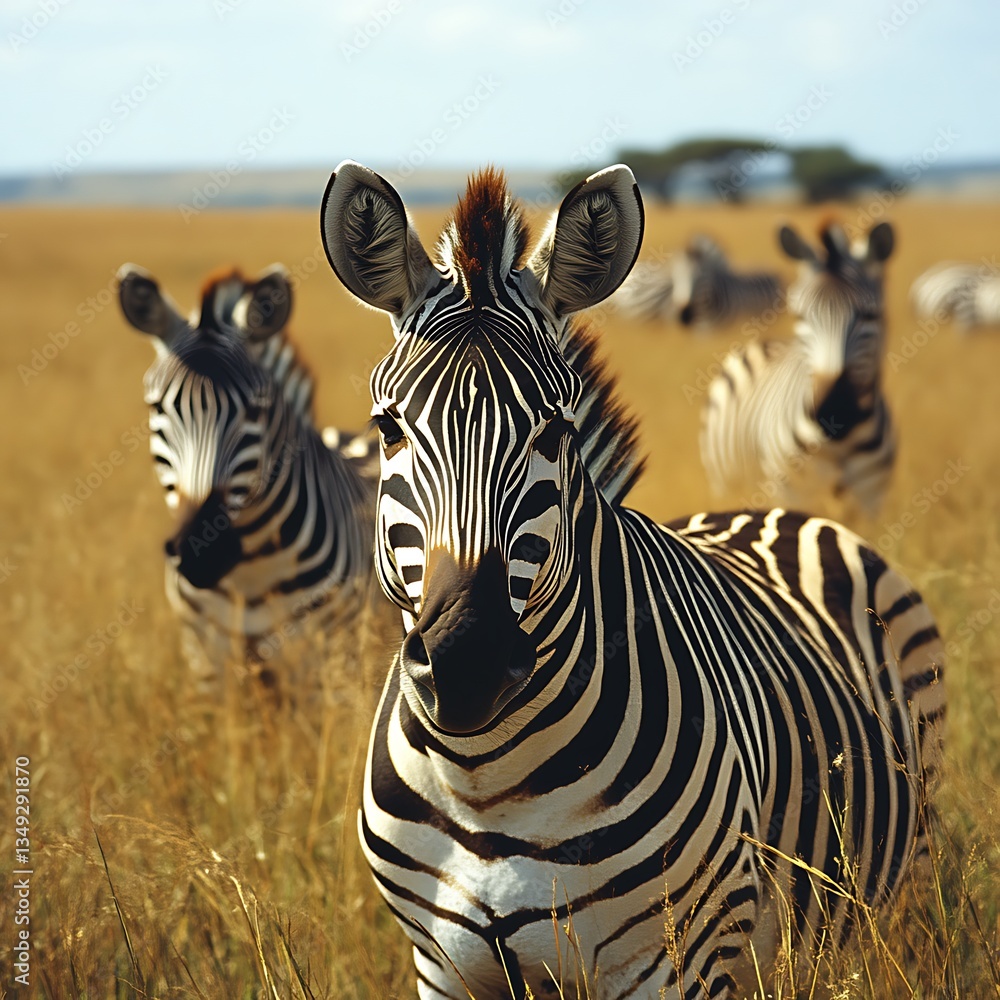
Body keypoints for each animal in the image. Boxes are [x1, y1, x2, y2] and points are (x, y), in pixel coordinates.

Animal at [117, 263, 377, 686]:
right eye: (157, 409)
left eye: (255, 410)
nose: (201, 551)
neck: (252, 573)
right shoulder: (207, 665)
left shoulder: (333, 665)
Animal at [700, 220, 896, 516]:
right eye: (801, 316)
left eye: (870, 315)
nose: (834, 410)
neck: (841, 444)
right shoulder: (795, 495)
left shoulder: (871, 498)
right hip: (726, 482)